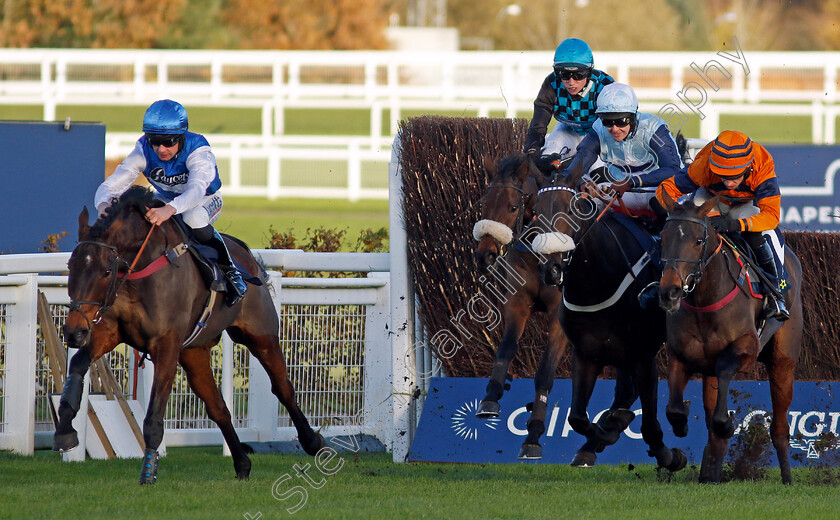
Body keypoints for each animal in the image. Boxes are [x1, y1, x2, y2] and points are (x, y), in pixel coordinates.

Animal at [51, 186, 322, 484]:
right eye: (71, 266)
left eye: (106, 271)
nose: (74, 331)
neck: (141, 274)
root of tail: (249, 258)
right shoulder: (110, 333)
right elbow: (77, 365)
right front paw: (65, 432)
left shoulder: (166, 347)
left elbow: (153, 416)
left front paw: (148, 471)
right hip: (194, 354)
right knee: (218, 407)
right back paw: (242, 464)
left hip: (260, 335)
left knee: (282, 387)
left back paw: (313, 442)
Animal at [472, 153, 636, 464]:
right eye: (483, 204)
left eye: (513, 206)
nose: (486, 254)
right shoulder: (517, 303)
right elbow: (506, 348)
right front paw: (490, 397)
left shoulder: (560, 318)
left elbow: (545, 372)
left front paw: (534, 435)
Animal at [536, 171, 684, 472]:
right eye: (535, 211)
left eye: (572, 210)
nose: (551, 269)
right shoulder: (586, 354)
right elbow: (577, 417)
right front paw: (605, 431)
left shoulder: (642, 356)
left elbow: (650, 425)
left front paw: (670, 456)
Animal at [660, 192, 804, 484]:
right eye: (663, 237)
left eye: (698, 240)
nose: (670, 292)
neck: (705, 299)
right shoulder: (678, 355)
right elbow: (674, 408)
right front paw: (681, 427)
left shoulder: (746, 348)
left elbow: (726, 369)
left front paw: (727, 423)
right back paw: (710, 475)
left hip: (783, 362)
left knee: (780, 428)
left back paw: (787, 478)